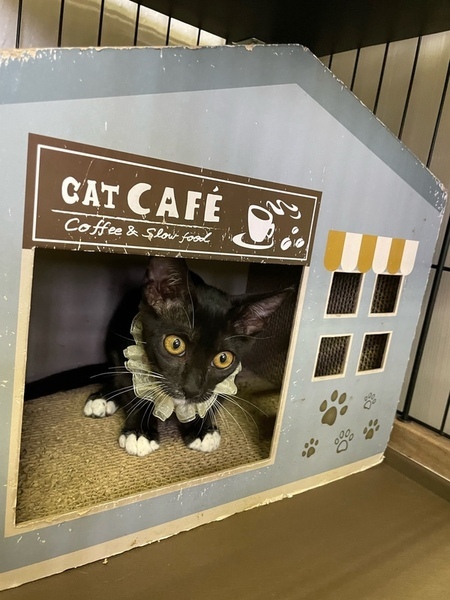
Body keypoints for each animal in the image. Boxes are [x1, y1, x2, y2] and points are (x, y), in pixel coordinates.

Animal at [84, 257, 291, 456]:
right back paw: (102, 398)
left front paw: (202, 429)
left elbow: (213, 396)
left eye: (223, 359)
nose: (191, 389)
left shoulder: (230, 377)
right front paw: (139, 432)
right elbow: (132, 389)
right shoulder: (126, 351)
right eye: (175, 344)